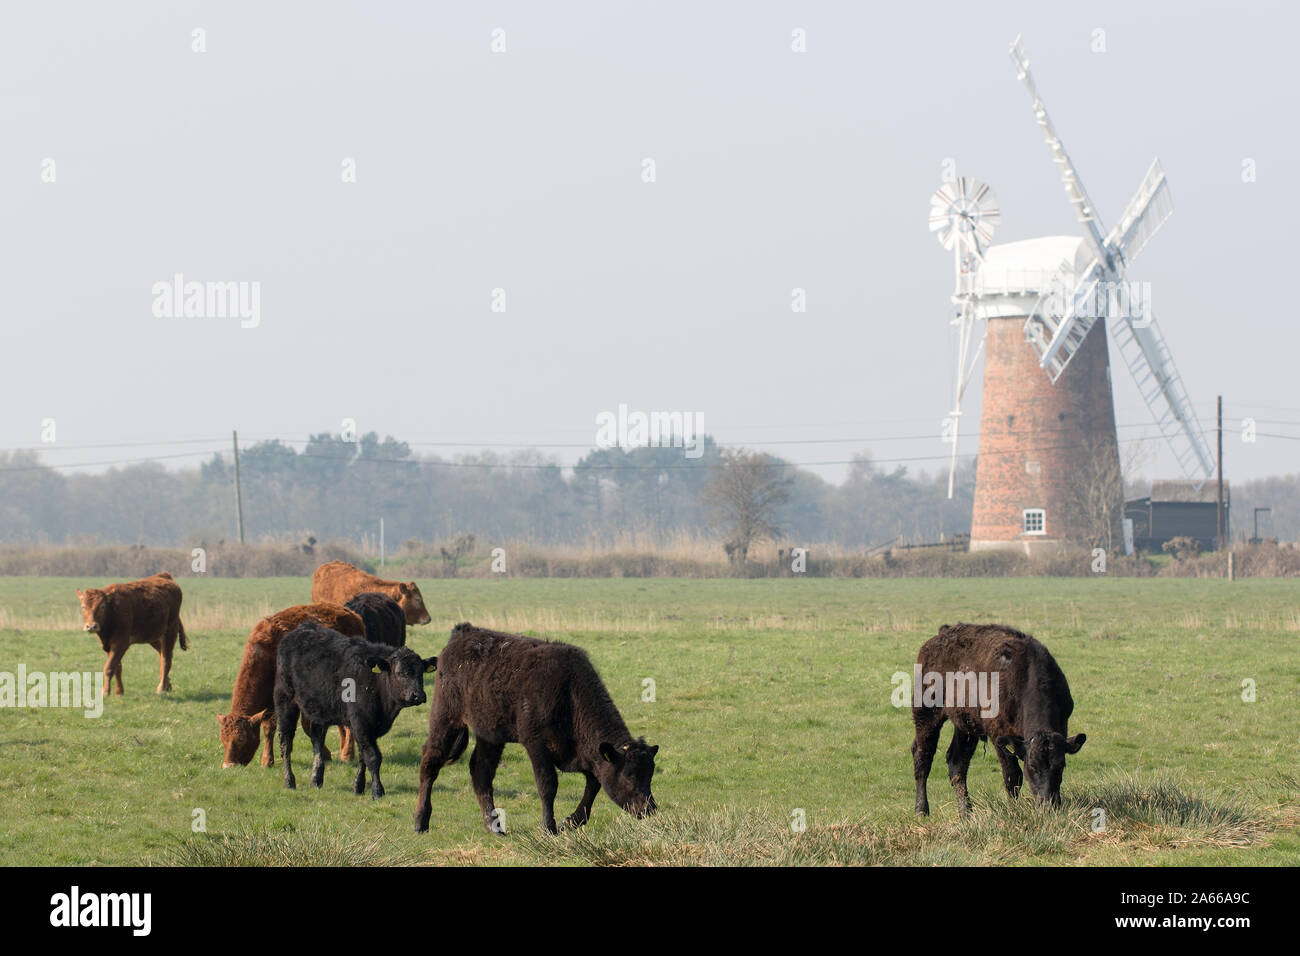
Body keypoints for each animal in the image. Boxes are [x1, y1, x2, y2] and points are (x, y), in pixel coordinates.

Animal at [215, 606, 364, 770]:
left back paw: (347, 754)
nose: (228, 765)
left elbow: (302, 726)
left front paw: (324, 755)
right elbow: (268, 728)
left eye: (241, 738)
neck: (269, 653)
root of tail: (351, 614)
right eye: (223, 739)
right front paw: (268, 760)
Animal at [274, 621, 436, 801]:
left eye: (421, 672)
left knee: (317, 739)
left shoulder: (366, 726)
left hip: (318, 710)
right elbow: (372, 756)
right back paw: (289, 781)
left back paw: (316, 779)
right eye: (400, 673)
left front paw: (358, 786)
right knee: (286, 742)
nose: (418, 695)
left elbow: (363, 755)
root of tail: (303, 628)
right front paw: (377, 790)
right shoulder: (361, 722)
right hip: (285, 700)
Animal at [416, 624, 660, 832]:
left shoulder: (584, 754)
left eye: (650, 773)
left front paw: (571, 821)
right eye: (629, 774)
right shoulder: (536, 745)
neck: (569, 692)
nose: (649, 809)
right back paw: (420, 821)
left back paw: (494, 826)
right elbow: (548, 784)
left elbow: (593, 784)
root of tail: (463, 632)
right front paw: (549, 827)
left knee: (481, 771)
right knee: (430, 762)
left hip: (490, 735)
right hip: (445, 718)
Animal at [915, 624, 1086, 816]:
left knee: (957, 762)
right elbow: (1012, 776)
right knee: (922, 756)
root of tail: (942, 633)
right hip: (926, 712)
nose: (1048, 805)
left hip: (966, 724)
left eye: (1061, 766)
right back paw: (921, 809)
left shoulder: (1063, 724)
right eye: (1032, 766)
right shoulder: (999, 733)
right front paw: (1013, 810)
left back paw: (966, 813)